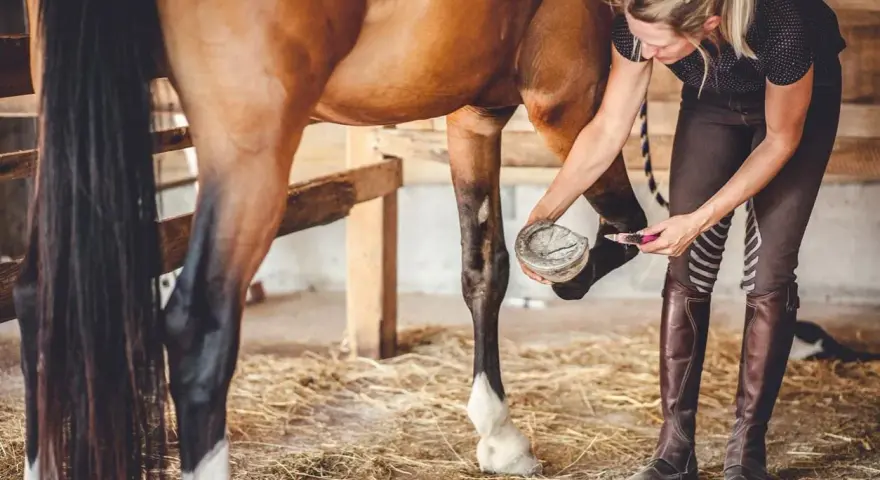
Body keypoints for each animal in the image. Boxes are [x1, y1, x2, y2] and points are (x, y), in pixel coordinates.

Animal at [14, 0, 653, 478]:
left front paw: (498, 436)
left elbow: (483, 269)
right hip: (249, 150)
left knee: (37, 299)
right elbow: (623, 219)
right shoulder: (569, 99)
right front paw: (573, 273)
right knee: (197, 334)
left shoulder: (474, 117)